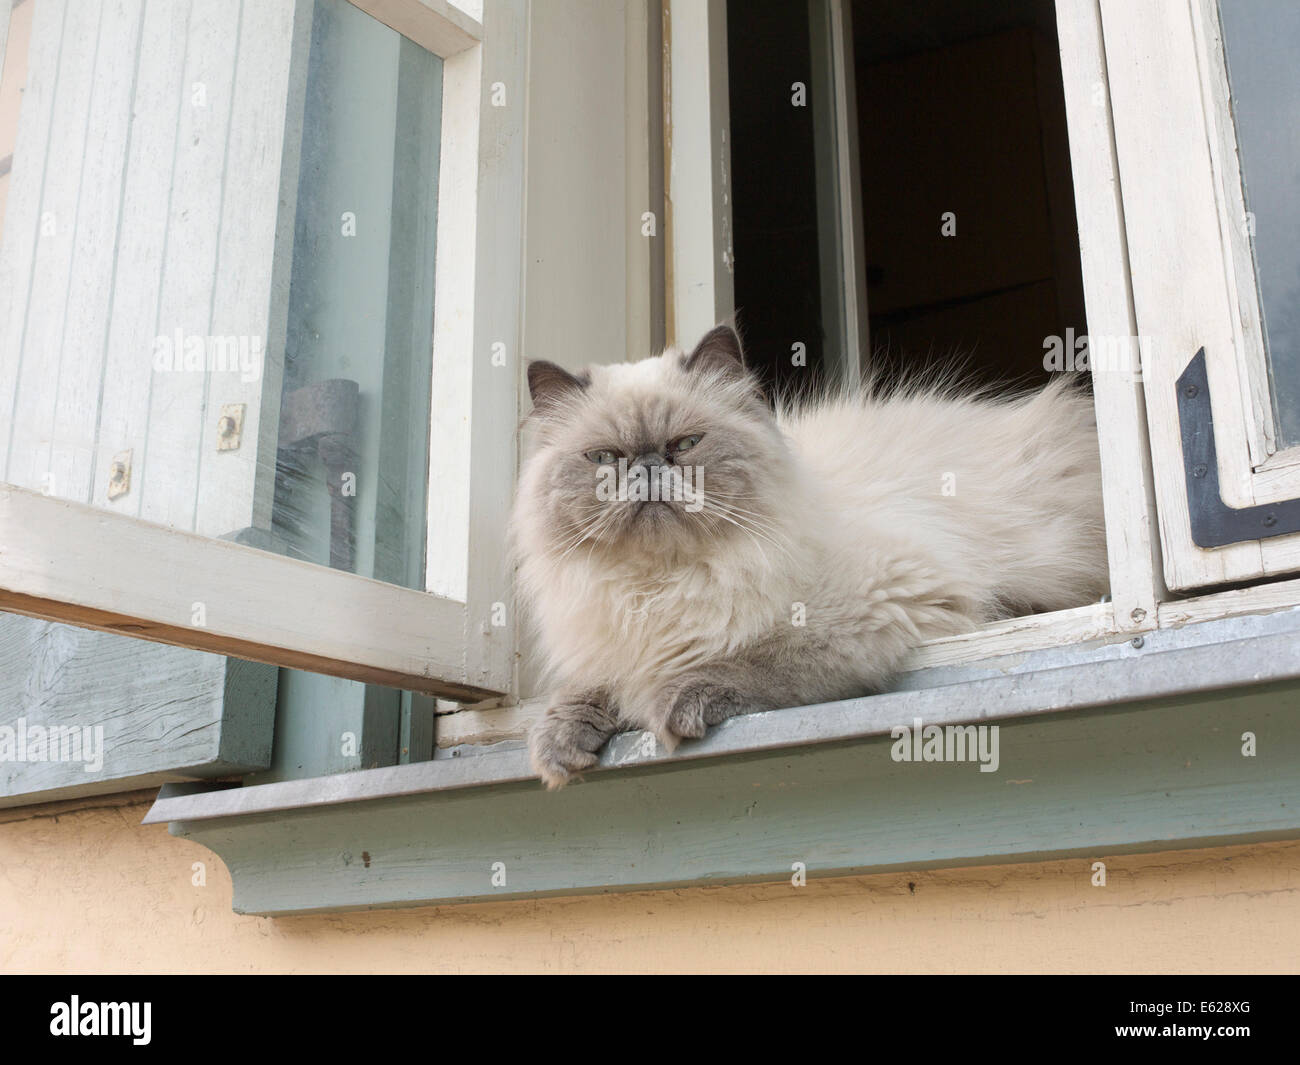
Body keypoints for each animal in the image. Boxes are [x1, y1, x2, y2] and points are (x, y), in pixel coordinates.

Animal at [512, 326, 1102, 790]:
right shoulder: (615, 646)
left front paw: (672, 701)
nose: (648, 469)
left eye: (686, 445)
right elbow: (591, 688)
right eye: (603, 457)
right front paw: (559, 746)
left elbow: (751, 659)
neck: (662, 584)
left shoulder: (884, 601)